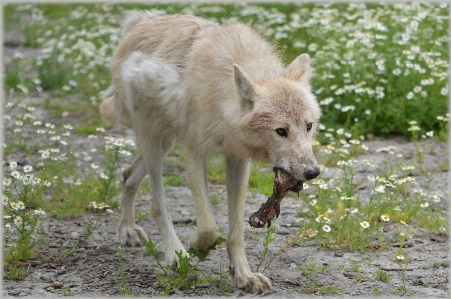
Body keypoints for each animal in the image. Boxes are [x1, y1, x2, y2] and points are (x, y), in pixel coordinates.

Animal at [100, 11, 324, 292]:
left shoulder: (238, 159)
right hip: (154, 140)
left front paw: (243, 275)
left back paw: (127, 230)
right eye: (281, 131)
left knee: (129, 175)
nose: (313, 172)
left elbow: (236, 231)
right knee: (157, 204)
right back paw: (174, 253)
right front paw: (197, 250)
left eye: (308, 126)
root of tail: (140, 21)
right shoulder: (194, 152)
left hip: (165, 142)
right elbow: (208, 227)